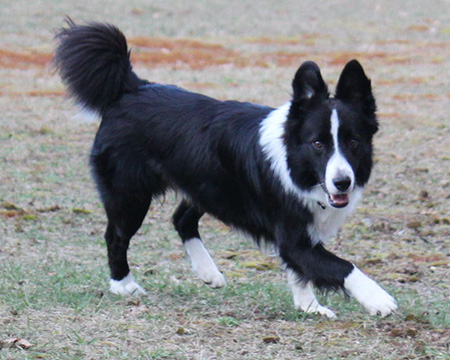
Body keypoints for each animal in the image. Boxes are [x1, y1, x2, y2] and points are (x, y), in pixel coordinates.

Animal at [55, 19, 398, 318]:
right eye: (317, 143)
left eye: (353, 142)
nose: (342, 182)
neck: (295, 163)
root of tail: (133, 88)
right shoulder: (293, 237)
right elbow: (341, 266)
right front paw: (378, 299)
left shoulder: (297, 237)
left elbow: (299, 271)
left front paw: (308, 307)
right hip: (130, 195)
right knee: (116, 236)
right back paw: (123, 285)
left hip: (208, 184)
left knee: (181, 218)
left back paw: (208, 272)